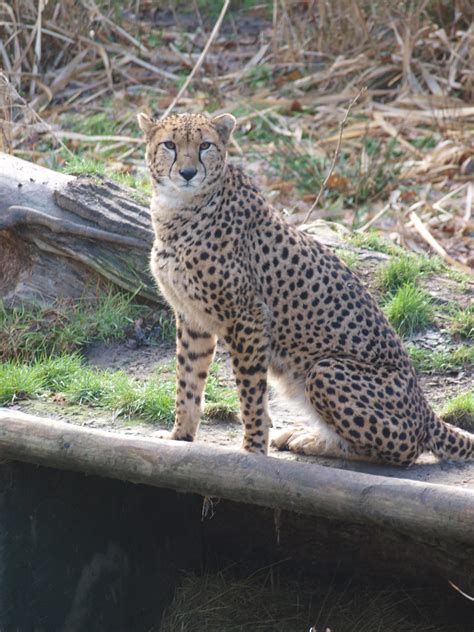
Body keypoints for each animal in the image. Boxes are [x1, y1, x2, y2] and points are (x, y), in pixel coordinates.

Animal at [138, 111, 474, 466]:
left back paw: (312, 440)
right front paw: (180, 437)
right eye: (169, 145)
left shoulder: (248, 318)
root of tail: (426, 410)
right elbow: (188, 381)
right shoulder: (192, 319)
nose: (188, 173)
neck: (179, 208)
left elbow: (251, 394)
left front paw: (253, 450)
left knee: (402, 451)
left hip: (325, 370)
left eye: (205, 145)